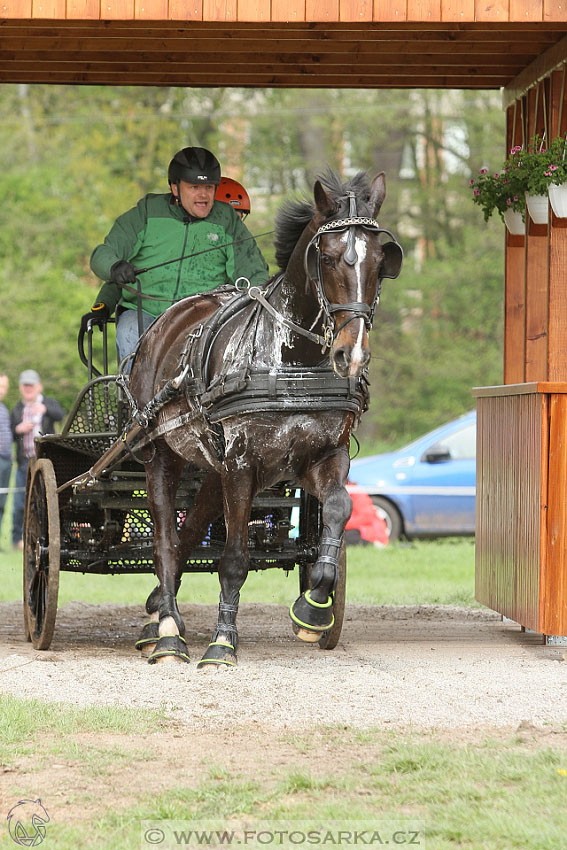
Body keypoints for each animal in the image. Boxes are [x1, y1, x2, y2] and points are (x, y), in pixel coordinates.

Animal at [129, 169, 404, 664]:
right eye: (328, 258)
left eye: (380, 261)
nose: (351, 354)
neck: (292, 362)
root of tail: (166, 321)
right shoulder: (242, 463)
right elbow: (234, 558)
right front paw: (222, 643)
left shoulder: (323, 456)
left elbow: (339, 508)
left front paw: (314, 608)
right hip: (161, 452)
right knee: (164, 542)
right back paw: (168, 632)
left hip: (212, 468)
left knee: (187, 534)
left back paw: (159, 611)